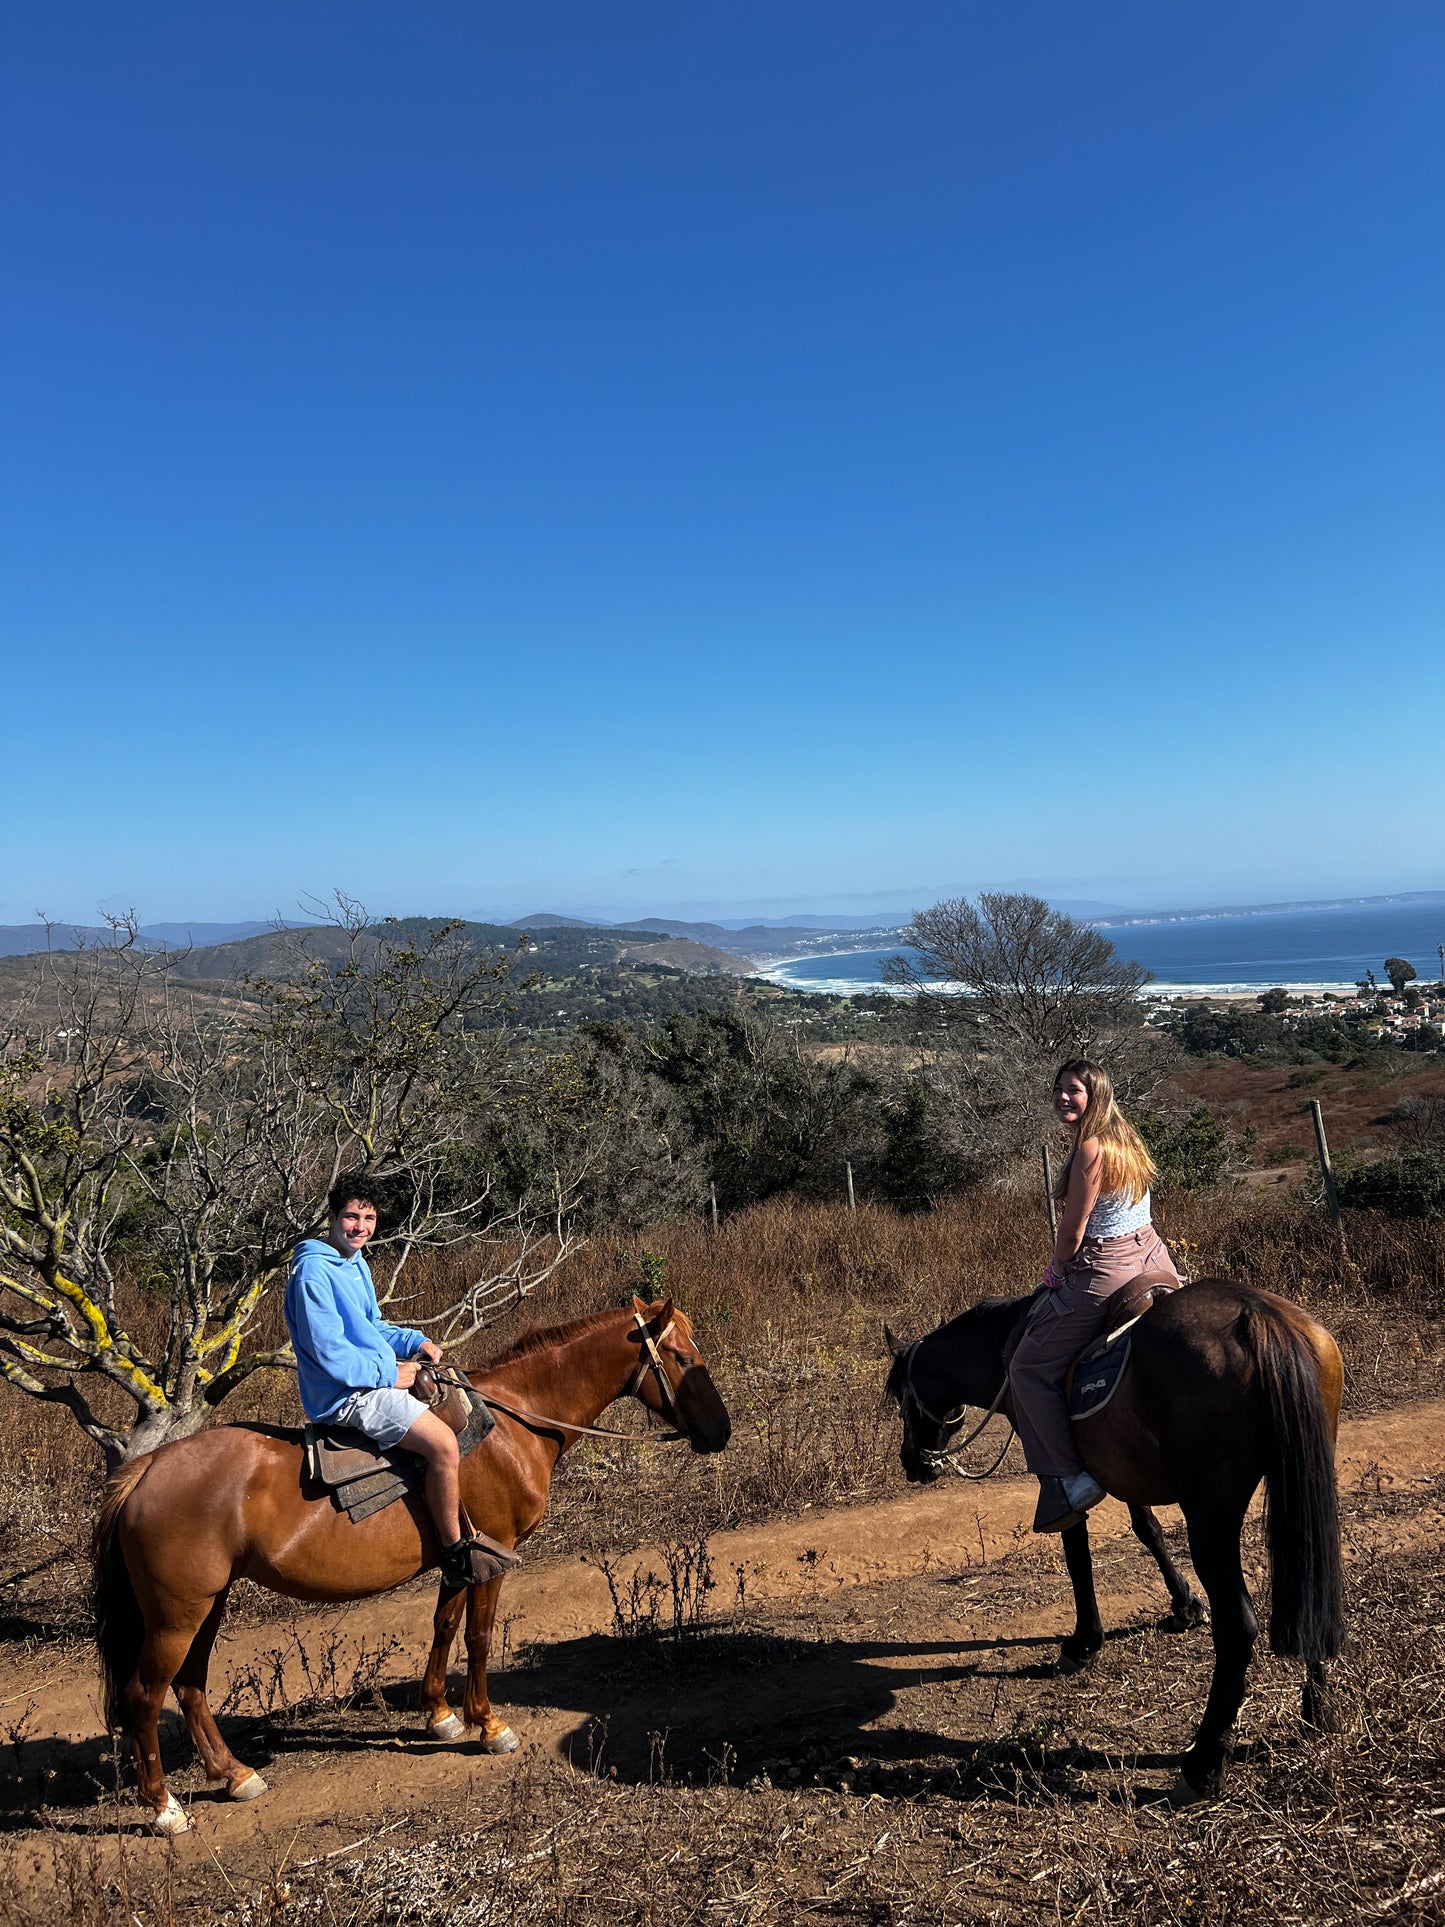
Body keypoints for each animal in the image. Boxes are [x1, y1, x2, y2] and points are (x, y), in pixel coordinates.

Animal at [91, 1294, 728, 1834]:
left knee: (190, 1687)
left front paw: (440, 1714)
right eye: (681, 1356)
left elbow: (444, 1626)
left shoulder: (461, 1559)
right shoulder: (494, 1555)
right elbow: (477, 1636)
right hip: (178, 1614)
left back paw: (233, 1774)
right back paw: (164, 1807)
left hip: (207, 1604)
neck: (516, 1421)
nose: (720, 1432)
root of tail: (146, 1471)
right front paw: (487, 1725)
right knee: (146, 1696)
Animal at [890, 1279, 1356, 1803]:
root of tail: (1257, 1316)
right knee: (1310, 1586)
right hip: (1303, 1482)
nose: (914, 1462)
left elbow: (1077, 1552)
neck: (1007, 1344)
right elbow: (1147, 1529)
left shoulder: (1061, 1471)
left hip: (1211, 1514)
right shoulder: (1125, 1466)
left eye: (902, 1399)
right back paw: (1318, 1712)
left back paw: (1203, 1765)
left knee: (1238, 1627)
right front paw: (1184, 1606)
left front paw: (1083, 1643)